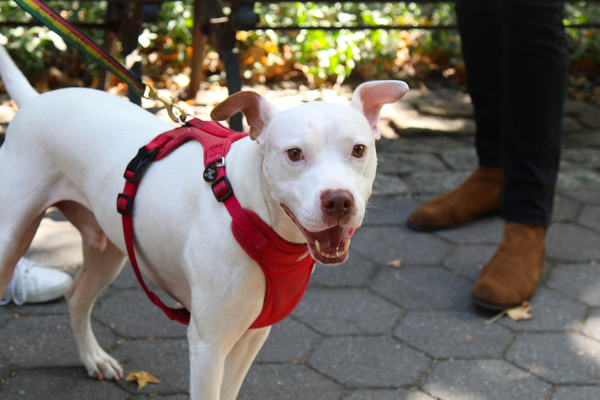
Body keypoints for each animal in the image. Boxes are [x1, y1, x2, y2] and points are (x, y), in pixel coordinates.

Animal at [0, 45, 408, 398]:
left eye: (359, 149)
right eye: (294, 154)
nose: (338, 200)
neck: (251, 214)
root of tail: (35, 100)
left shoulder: (251, 336)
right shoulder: (208, 345)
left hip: (109, 247)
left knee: (77, 296)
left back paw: (93, 359)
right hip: (10, 242)